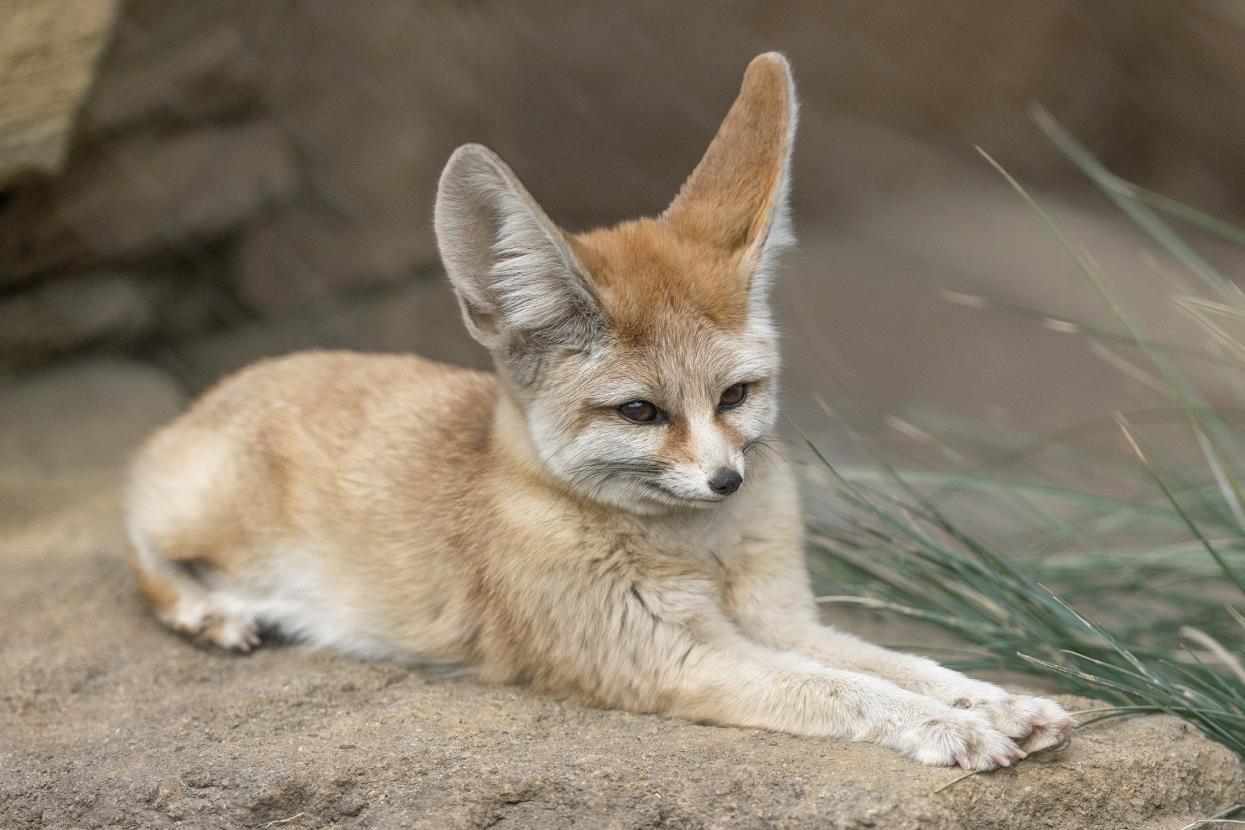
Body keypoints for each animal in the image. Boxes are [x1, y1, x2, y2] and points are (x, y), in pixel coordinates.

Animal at [126, 53, 1073, 770]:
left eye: (735, 396)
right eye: (639, 411)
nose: (726, 481)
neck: (702, 556)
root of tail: (231, 384)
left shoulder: (780, 618)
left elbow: (893, 660)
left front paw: (991, 699)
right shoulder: (677, 658)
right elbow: (844, 687)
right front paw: (949, 726)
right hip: (195, 509)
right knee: (134, 532)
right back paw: (214, 609)